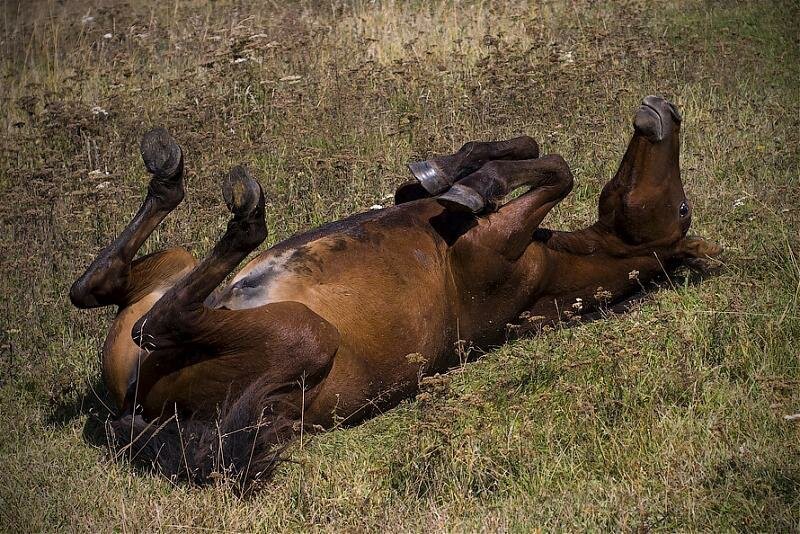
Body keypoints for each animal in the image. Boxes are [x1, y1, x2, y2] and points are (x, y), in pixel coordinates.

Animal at [70, 95, 724, 490]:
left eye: (682, 210)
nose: (667, 110)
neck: (548, 270)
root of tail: (138, 409)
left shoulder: (497, 246)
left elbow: (557, 170)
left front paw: (477, 185)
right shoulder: (423, 206)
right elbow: (521, 151)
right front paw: (450, 169)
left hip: (304, 335)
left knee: (156, 320)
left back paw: (240, 218)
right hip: (176, 269)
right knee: (95, 287)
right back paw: (167, 173)